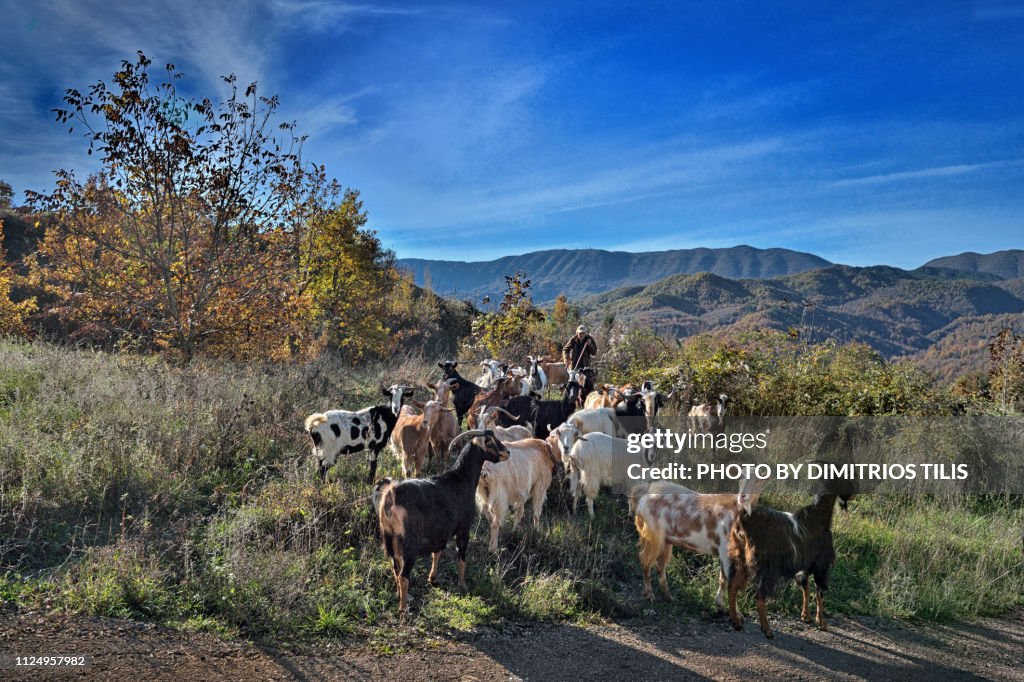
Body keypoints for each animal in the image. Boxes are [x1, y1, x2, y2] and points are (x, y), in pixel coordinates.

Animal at [634, 473, 765, 610]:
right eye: (741, 478)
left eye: (758, 481)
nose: (742, 497)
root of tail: (644, 495)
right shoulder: (725, 549)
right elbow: (726, 580)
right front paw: (726, 607)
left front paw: (722, 605)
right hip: (653, 536)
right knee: (645, 559)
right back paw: (649, 594)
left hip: (665, 540)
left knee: (660, 565)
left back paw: (668, 596)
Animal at [724, 473, 860, 638]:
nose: (854, 494)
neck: (818, 517)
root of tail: (744, 520)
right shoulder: (822, 566)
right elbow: (819, 593)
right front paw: (821, 622)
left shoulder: (804, 566)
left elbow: (805, 588)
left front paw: (806, 616)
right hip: (767, 569)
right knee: (759, 596)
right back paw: (767, 630)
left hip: (740, 559)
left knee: (732, 587)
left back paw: (736, 621)